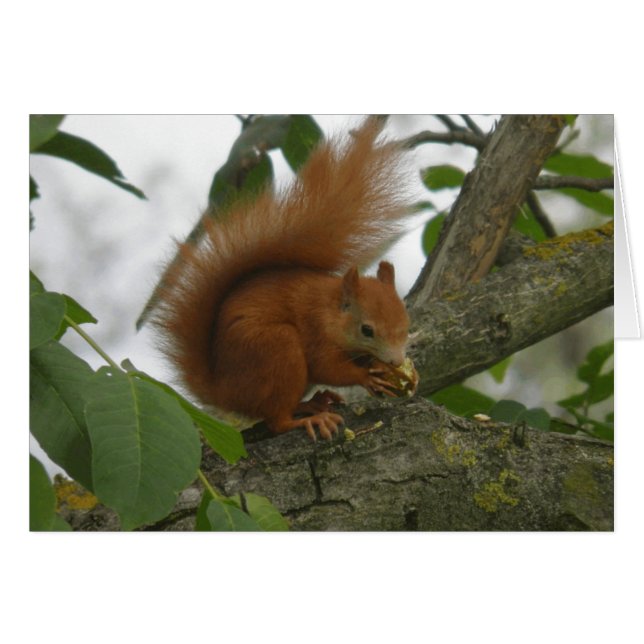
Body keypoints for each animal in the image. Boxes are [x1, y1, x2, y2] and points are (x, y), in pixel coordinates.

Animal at [152, 117, 413, 441]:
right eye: (367, 330)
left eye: (406, 323)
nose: (396, 361)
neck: (330, 308)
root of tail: (226, 393)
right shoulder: (315, 330)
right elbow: (327, 367)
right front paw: (366, 376)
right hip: (277, 351)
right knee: (277, 420)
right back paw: (309, 418)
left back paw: (314, 403)